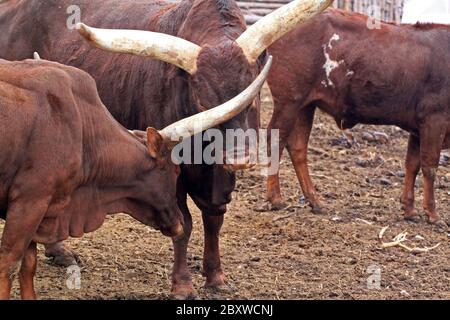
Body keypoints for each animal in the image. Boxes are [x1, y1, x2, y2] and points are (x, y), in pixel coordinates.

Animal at [0, 55, 270, 300]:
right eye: (175, 171)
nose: (178, 223)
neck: (82, 129)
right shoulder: (30, 203)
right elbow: (10, 265)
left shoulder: (40, 210)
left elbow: (28, 264)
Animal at [268, 8, 450, 228]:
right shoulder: (434, 119)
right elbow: (430, 167)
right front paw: (433, 214)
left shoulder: (418, 128)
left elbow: (412, 165)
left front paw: (410, 210)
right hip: (288, 102)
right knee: (274, 141)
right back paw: (275, 198)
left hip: (304, 106)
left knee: (297, 147)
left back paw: (315, 201)